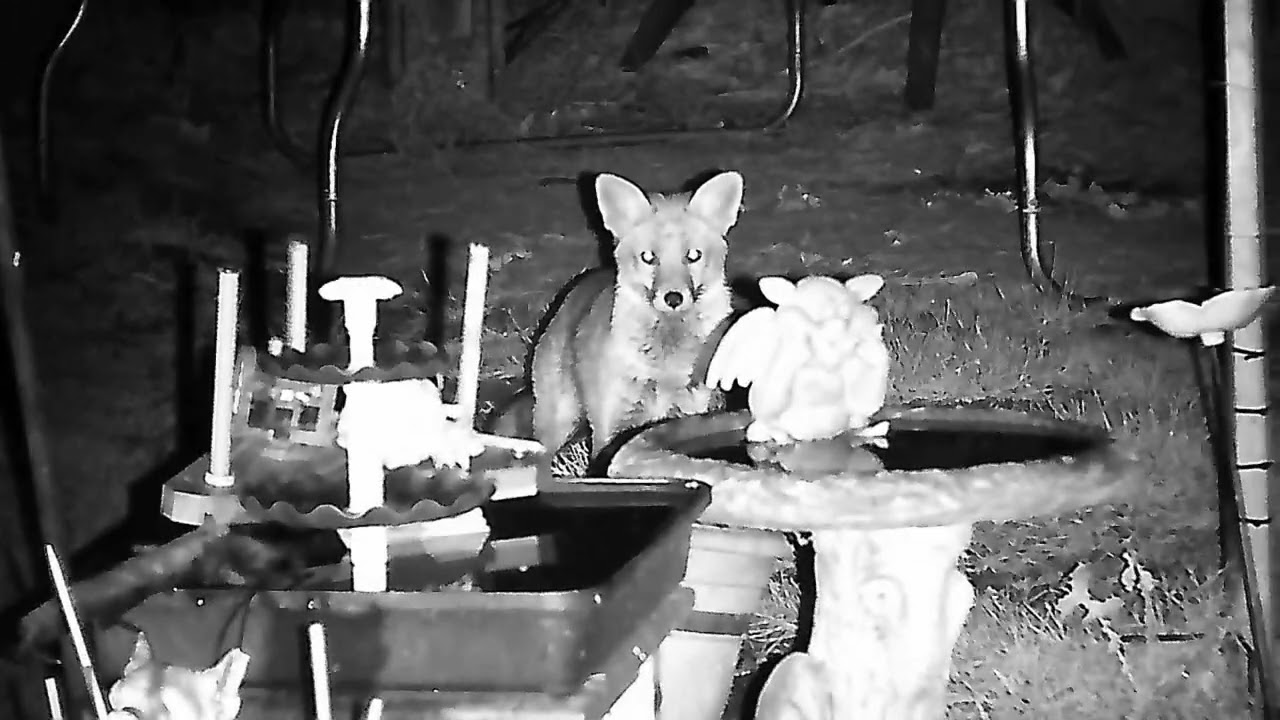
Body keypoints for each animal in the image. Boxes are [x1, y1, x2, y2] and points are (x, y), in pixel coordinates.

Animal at [491, 170, 746, 470]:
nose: (673, 298)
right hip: (556, 423)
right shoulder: (610, 427)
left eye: (693, 255)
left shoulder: (689, 413)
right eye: (648, 257)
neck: (664, 368)